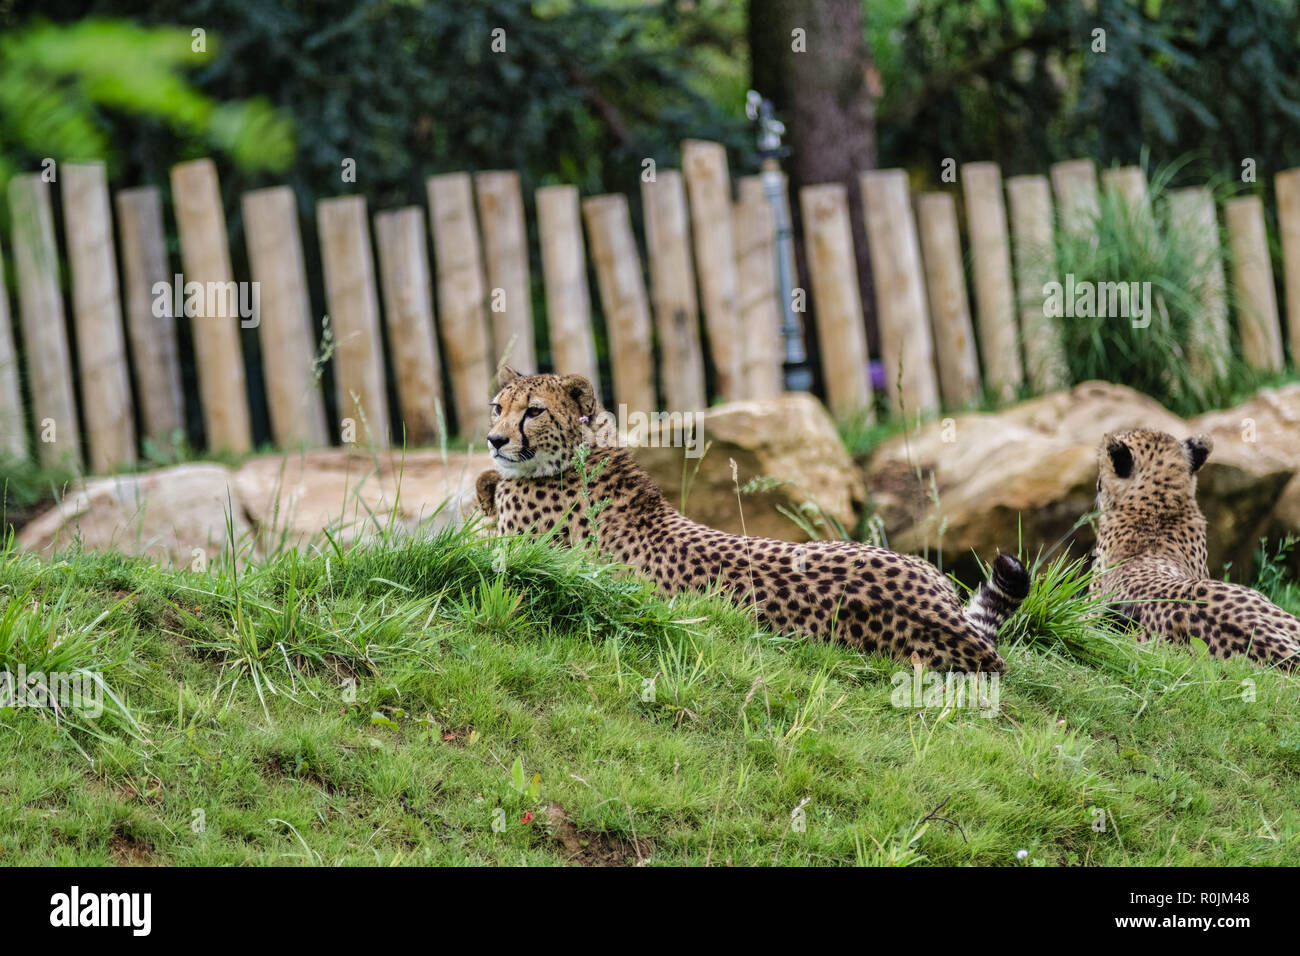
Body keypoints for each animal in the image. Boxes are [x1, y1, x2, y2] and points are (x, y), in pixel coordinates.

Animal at [473, 366, 1029, 671]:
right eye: (497, 407)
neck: (584, 453)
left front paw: (486, 481)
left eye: (533, 411)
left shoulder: (514, 549)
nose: (495, 439)